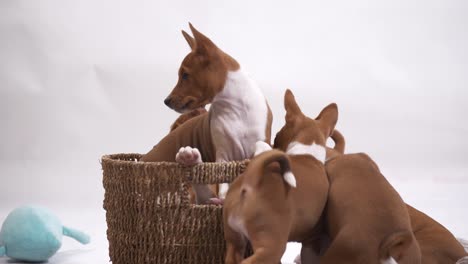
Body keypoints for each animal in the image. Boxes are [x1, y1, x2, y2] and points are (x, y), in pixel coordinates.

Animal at [140, 23, 270, 203]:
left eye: (185, 75)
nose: (166, 100)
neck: (236, 110)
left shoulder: (264, 138)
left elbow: (262, 146)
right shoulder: (222, 156)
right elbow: (222, 183)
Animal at [223, 89, 336, 262]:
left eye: (277, 135)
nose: (274, 142)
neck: (307, 152)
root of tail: (252, 182)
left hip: (234, 242)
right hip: (271, 247)